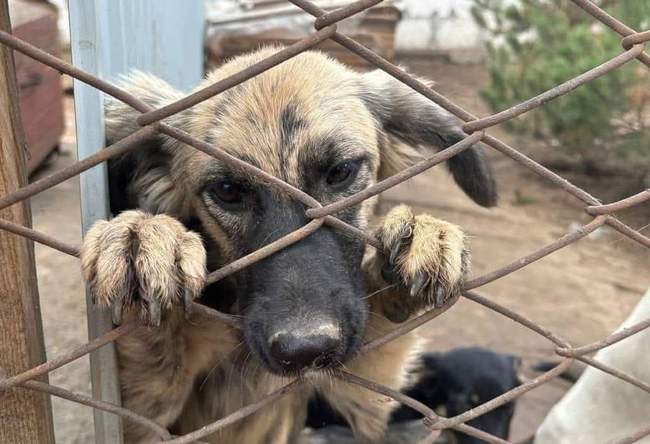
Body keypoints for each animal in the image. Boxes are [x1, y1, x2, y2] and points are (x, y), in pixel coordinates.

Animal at [79, 46, 496, 442]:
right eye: (227, 190)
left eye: (341, 172)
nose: (305, 351)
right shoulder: (144, 416)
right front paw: (146, 236)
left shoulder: (361, 398)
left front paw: (422, 238)